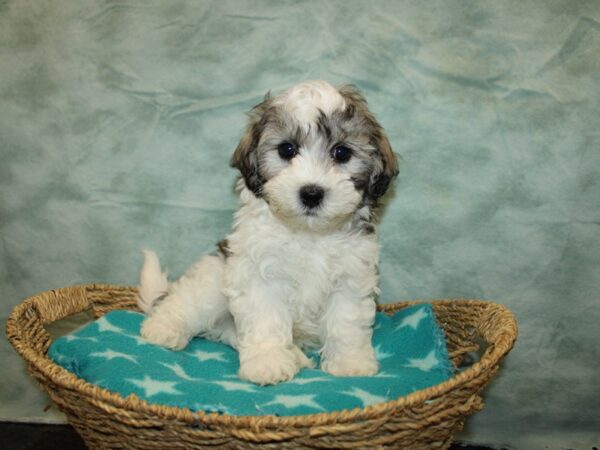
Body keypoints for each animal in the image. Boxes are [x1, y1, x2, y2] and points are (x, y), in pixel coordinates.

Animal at [137, 80, 398, 384]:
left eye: (342, 153)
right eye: (287, 149)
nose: (311, 193)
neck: (309, 234)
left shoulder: (351, 276)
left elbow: (346, 322)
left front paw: (350, 363)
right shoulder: (259, 275)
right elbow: (267, 320)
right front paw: (268, 363)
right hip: (214, 279)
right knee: (184, 302)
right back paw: (162, 328)